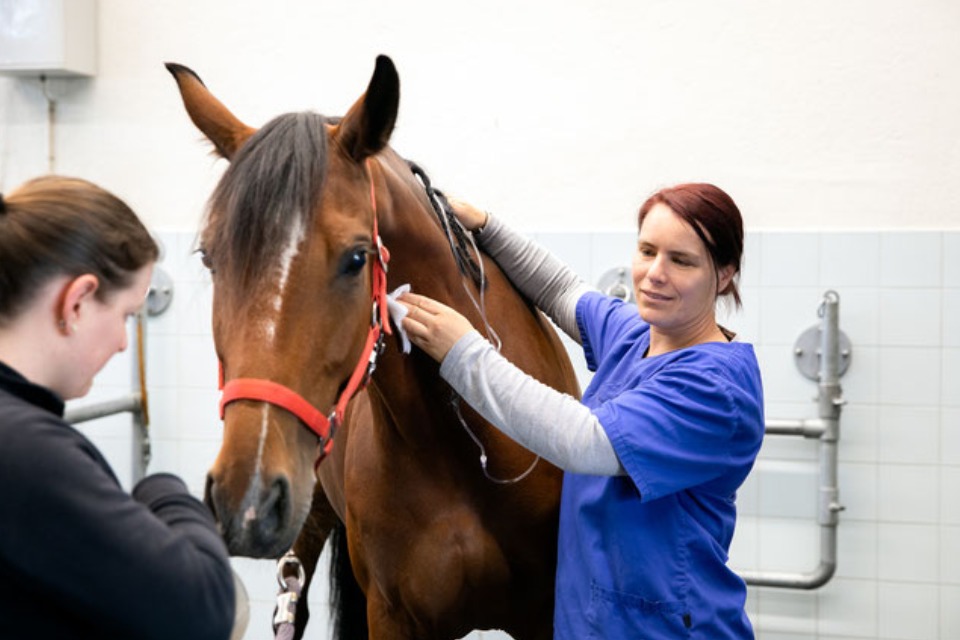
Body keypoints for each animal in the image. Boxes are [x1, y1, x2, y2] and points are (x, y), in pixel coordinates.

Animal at [167, 57, 576, 636]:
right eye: (210, 256)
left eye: (357, 257)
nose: (245, 499)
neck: (463, 447)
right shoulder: (392, 616)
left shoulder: (544, 614)